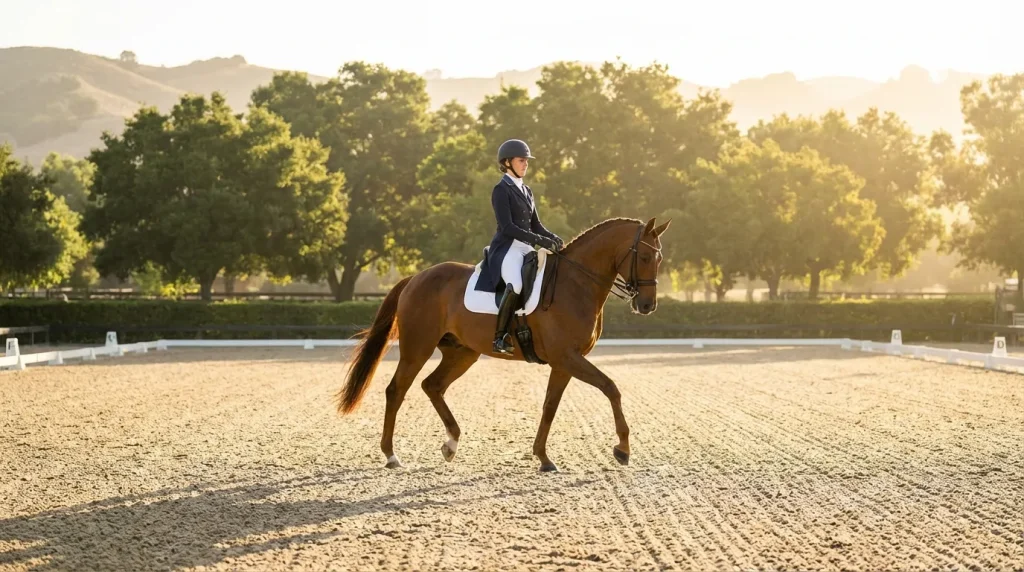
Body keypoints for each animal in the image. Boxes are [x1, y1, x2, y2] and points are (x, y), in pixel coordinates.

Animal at [335, 216, 671, 472]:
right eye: (643, 257)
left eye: (659, 258)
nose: (647, 305)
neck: (576, 284)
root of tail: (416, 277)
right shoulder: (568, 357)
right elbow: (610, 387)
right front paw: (623, 449)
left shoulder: (564, 362)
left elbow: (550, 406)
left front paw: (543, 458)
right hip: (417, 348)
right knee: (396, 390)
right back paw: (392, 455)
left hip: (462, 353)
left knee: (432, 385)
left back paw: (451, 444)